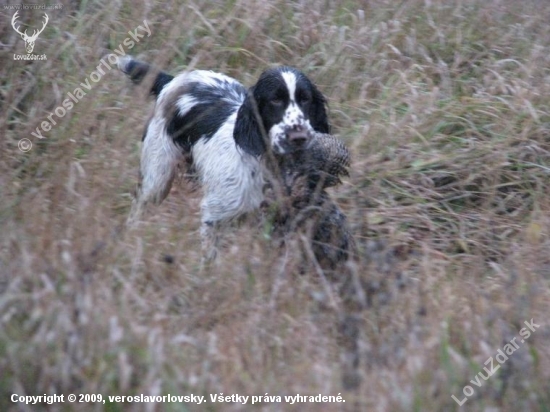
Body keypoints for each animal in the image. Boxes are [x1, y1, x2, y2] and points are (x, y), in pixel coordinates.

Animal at [118, 56, 330, 260]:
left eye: (305, 99)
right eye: (275, 100)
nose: (299, 137)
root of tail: (173, 80)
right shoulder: (215, 215)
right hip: (157, 178)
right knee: (139, 206)